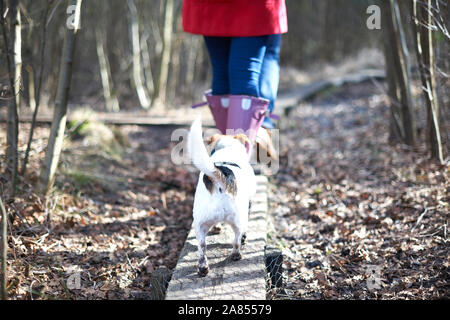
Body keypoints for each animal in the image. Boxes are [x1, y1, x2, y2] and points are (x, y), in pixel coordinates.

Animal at [187, 116, 256, 276]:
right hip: (238, 219)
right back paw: (236, 254)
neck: (227, 150)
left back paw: (203, 268)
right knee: (236, 240)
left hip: (200, 224)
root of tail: (219, 178)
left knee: (202, 246)